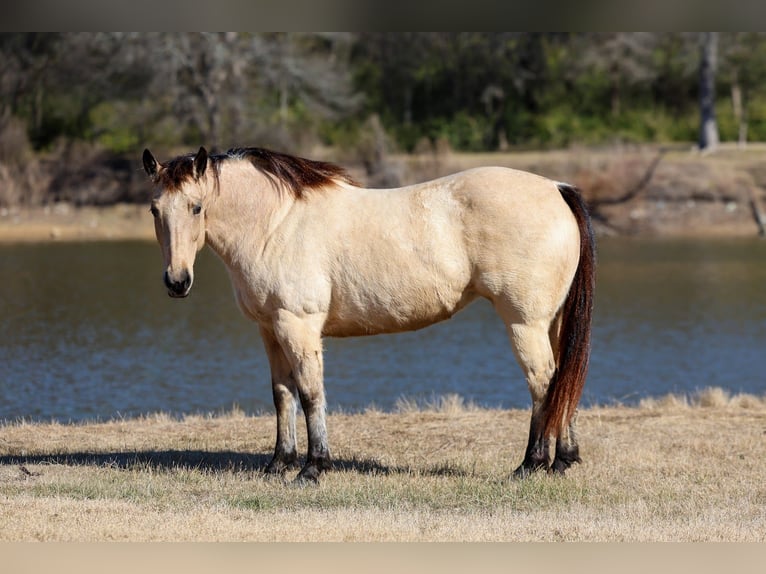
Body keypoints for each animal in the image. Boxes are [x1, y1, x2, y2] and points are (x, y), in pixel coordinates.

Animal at [142, 145, 595, 483]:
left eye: (196, 207)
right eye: (154, 209)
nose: (177, 282)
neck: (275, 224)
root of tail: (556, 188)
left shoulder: (297, 325)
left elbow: (311, 393)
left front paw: (314, 468)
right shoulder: (270, 330)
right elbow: (282, 395)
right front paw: (278, 465)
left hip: (524, 322)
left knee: (543, 381)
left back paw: (532, 464)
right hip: (551, 321)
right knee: (562, 380)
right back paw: (563, 459)